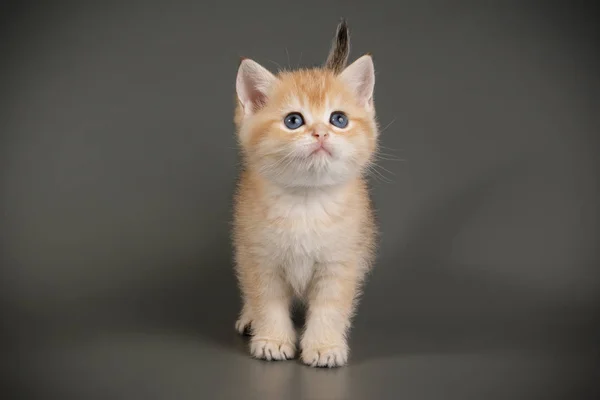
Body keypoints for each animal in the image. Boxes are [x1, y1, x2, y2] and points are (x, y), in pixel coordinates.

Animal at [232, 19, 378, 368]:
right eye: (293, 120)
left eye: (338, 119)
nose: (321, 133)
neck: (306, 201)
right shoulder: (259, 257)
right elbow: (267, 300)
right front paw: (272, 339)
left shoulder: (341, 262)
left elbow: (330, 308)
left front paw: (324, 346)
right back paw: (249, 317)